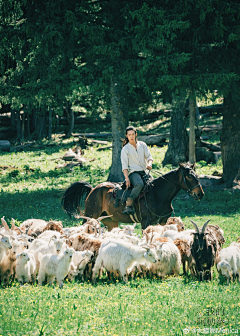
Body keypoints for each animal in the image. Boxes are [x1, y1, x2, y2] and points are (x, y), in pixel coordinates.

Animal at [61, 163, 203, 231]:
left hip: (111, 222)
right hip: (90, 216)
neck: (158, 195)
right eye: (189, 176)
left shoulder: (163, 222)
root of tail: (92, 190)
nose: (200, 193)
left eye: (196, 175)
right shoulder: (146, 222)